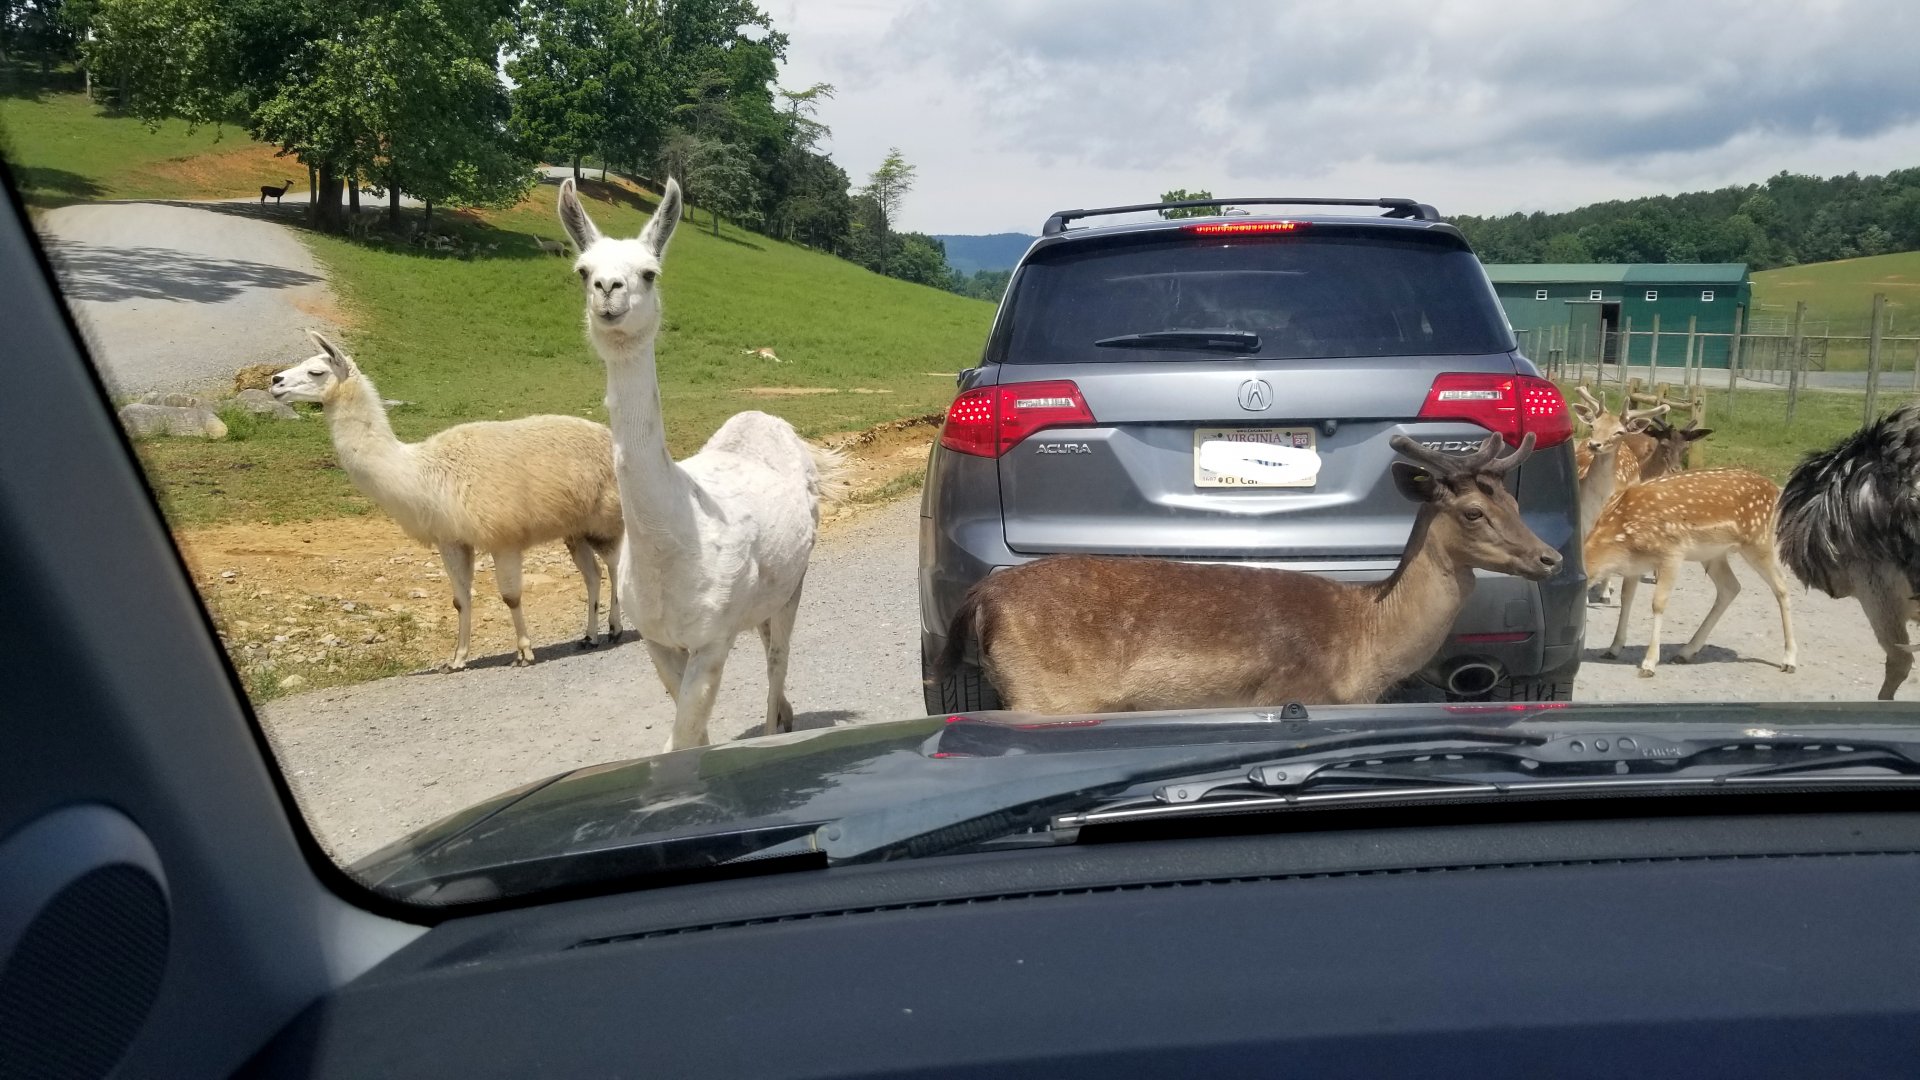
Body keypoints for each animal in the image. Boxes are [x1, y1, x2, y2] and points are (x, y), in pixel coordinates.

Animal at [935, 433, 1562, 713]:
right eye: (1474, 512)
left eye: (1515, 503)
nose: (1550, 557)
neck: (1366, 647)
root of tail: (981, 597)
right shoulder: (1295, 691)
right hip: (1042, 694)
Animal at [1585, 468, 1796, 679]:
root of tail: (1774, 489)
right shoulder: (1634, 565)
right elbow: (1626, 598)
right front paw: (1613, 648)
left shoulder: (1672, 553)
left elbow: (1658, 604)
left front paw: (1649, 663)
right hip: (1714, 554)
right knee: (1731, 587)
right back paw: (1686, 652)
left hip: (1759, 540)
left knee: (1781, 585)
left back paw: (1789, 660)